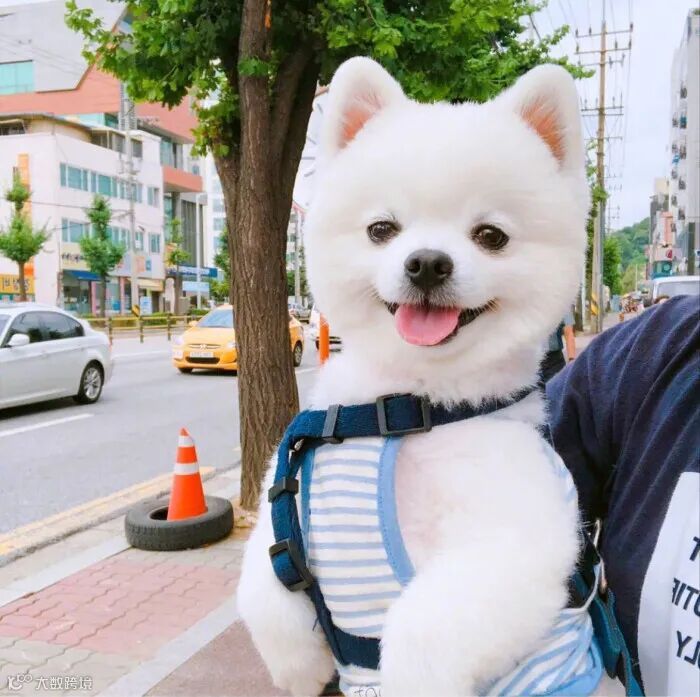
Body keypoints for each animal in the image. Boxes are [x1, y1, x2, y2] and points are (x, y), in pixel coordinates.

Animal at [238, 57, 604, 696]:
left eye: (491, 236)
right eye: (382, 229)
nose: (428, 262)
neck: (402, 408)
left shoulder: (514, 538)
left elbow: (420, 628)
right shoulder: (289, 511)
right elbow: (264, 579)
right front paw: (298, 667)